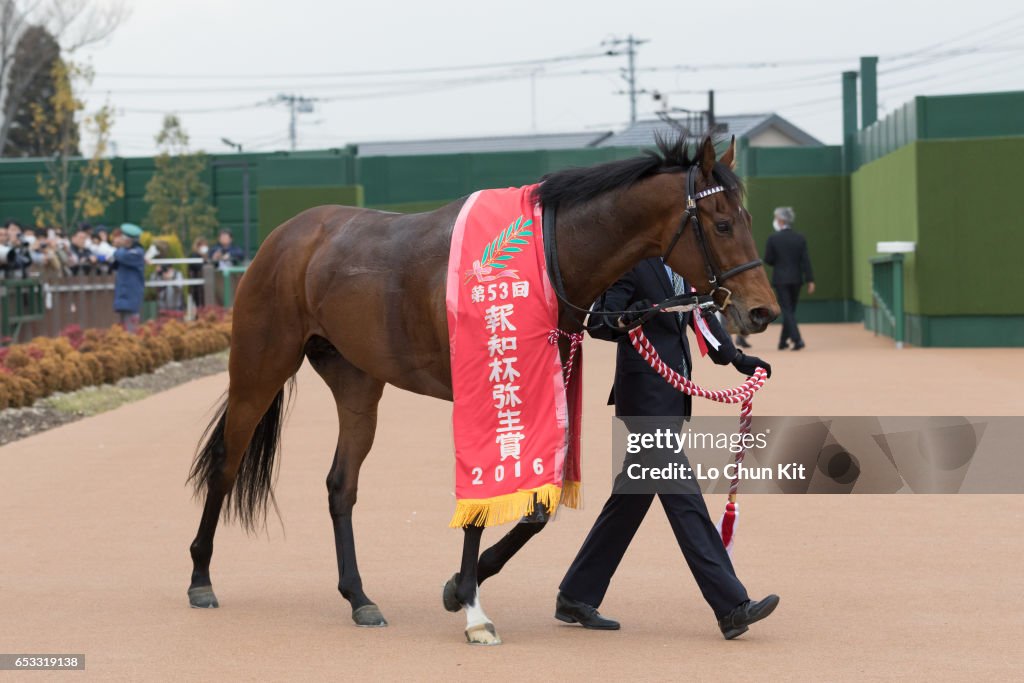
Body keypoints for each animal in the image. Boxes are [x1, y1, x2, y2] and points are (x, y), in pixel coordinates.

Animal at [186, 135, 774, 647]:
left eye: (749, 219)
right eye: (723, 223)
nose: (761, 311)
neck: (544, 258)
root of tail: (290, 234)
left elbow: (535, 509)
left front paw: (460, 585)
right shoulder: (485, 395)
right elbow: (482, 503)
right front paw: (472, 608)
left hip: (356, 380)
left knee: (340, 485)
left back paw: (359, 597)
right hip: (259, 367)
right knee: (226, 465)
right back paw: (200, 578)